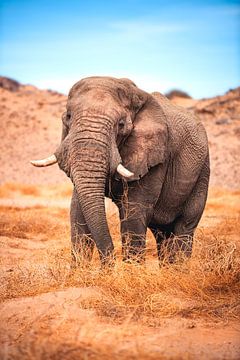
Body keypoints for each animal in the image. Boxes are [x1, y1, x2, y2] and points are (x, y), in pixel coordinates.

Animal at [30, 76, 210, 268]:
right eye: (68, 117)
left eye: (121, 125)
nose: (108, 267)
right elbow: (77, 210)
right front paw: (79, 272)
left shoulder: (156, 155)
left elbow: (133, 213)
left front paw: (132, 271)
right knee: (162, 233)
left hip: (203, 172)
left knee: (185, 226)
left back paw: (178, 269)